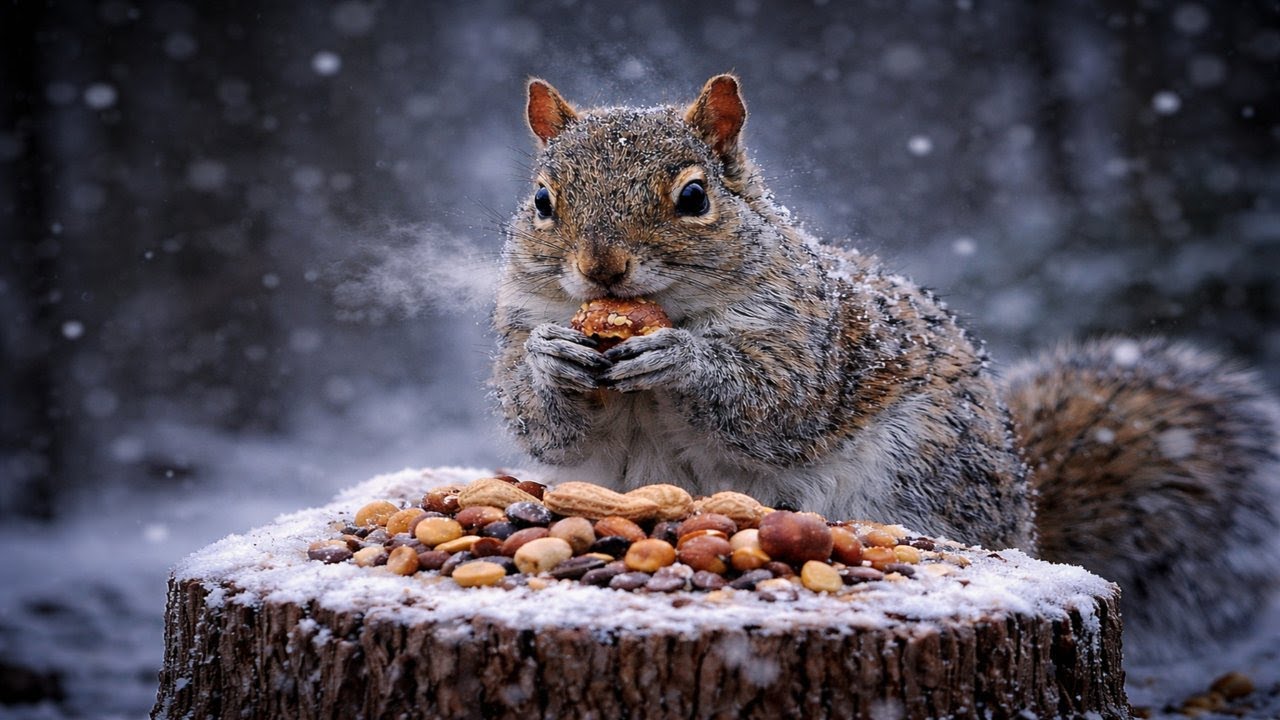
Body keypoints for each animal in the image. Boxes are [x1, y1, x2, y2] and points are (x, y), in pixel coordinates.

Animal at [490, 74, 1280, 660]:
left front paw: (682, 359)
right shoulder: (520, 326)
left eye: (693, 197)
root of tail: (1025, 526)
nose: (601, 268)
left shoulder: (812, 343)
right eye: (542, 201)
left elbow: (773, 403)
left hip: (915, 471)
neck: (662, 311)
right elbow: (542, 423)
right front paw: (551, 363)